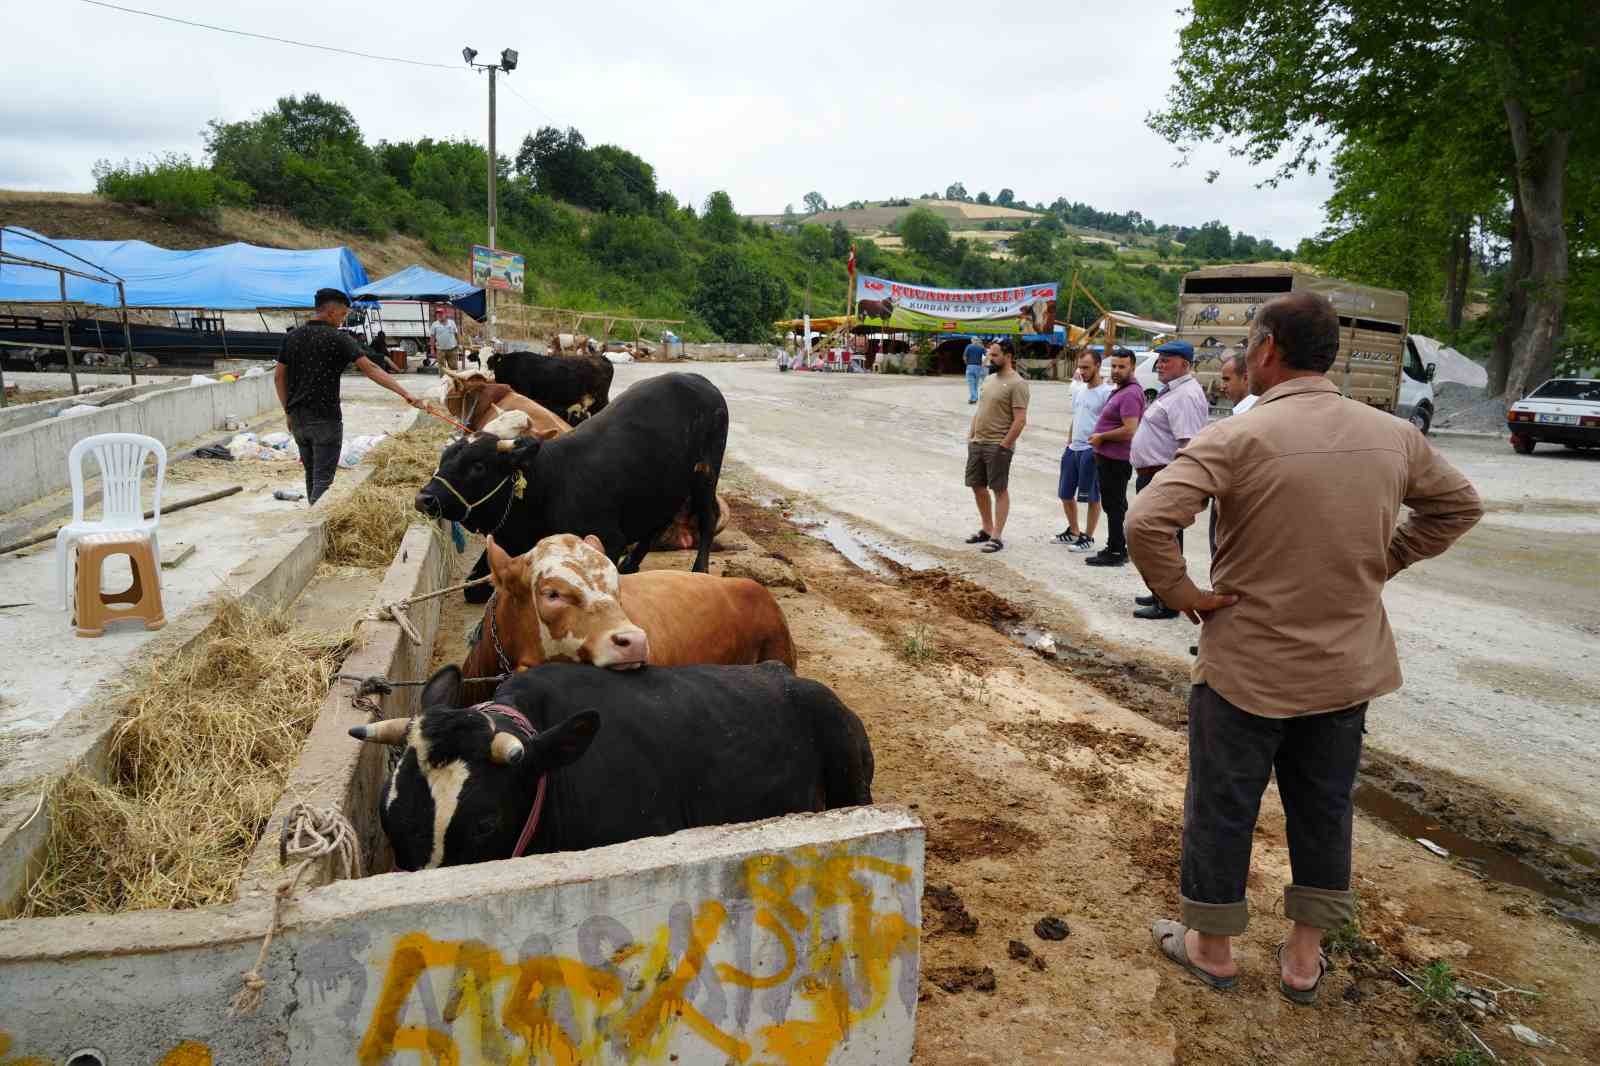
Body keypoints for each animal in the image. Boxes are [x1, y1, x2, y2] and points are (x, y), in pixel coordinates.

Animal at [419, 369, 732, 598]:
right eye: (445, 457)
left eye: (478, 466)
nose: (424, 498)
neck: (548, 485)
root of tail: (698, 379)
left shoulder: (609, 539)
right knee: (658, 524)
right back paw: (631, 564)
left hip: (706, 475)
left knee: (706, 518)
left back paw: (699, 570)